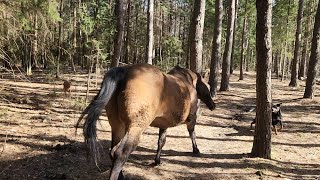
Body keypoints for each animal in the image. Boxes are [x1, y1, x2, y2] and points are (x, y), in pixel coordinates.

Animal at [76, 63, 215, 179]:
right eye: (208, 86)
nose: (213, 105)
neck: (188, 82)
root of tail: (124, 71)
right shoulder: (192, 119)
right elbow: (192, 134)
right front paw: (196, 149)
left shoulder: (164, 124)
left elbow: (161, 141)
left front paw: (157, 161)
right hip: (135, 128)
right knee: (121, 153)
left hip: (117, 126)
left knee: (113, 151)